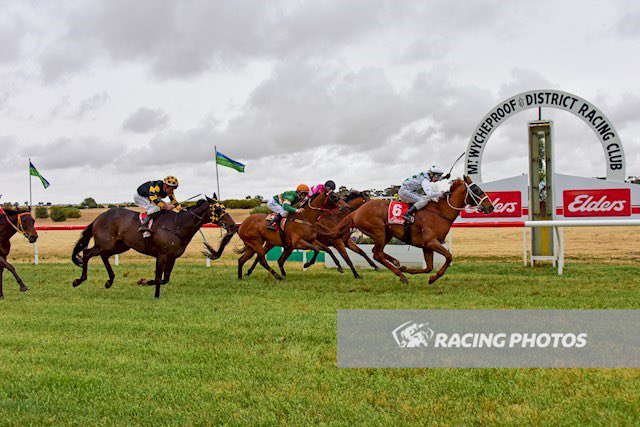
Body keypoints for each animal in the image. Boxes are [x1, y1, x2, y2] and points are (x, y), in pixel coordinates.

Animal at [72, 196, 238, 300]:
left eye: (224, 208)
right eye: (218, 210)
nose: (233, 226)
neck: (177, 225)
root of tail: (99, 217)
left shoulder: (172, 257)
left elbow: (165, 279)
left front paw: (146, 281)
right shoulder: (162, 255)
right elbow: (159, 277)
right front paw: (155, 294)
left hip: (120, 246)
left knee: (103, 256)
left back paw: (109, 281)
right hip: (105, 244)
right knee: (86, 253)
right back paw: (79, 280)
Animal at [242, 191, 378, 280]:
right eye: (334, 196)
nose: (375, 208)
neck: (336, 218)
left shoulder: (346, 241)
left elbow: (361, 252)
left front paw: (375, 266)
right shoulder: (337, 242)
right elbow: (347, 258)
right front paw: (356, 274)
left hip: (285, 246)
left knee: (276, 259)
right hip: (271, 243)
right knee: (260, 257)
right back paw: (250, 272)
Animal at [330, 176, 496, 286]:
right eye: (476, 190)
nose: (491, 207)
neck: (440, 212)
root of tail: (356, 211)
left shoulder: (426, 245)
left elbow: (428, 267)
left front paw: (411, 270)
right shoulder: (431, 241)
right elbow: (448, 257)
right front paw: (433, 278)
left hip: (386, 233)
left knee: (378, 251)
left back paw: (398, 264)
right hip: (379, 231)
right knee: (377, 254)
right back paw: (401, 275)